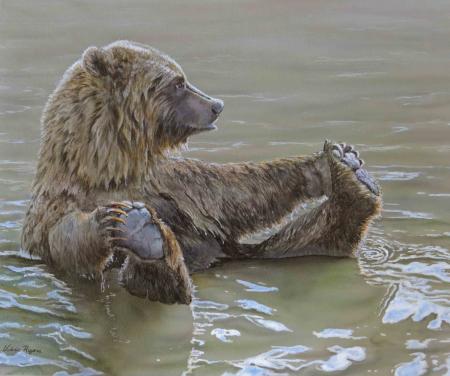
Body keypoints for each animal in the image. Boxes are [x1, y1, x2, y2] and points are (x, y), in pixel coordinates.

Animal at [20, 40, 380, 306]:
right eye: (177, 83)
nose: (216, 104)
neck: (112, 167)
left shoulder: (172, 181)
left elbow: (234, 192)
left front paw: (324, 165)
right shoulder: (58, 204)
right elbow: (64, 240)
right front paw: (112, 220)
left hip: (252, 252)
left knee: (310, 240)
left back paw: (350, 173)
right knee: (162, 284)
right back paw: (144, 234)